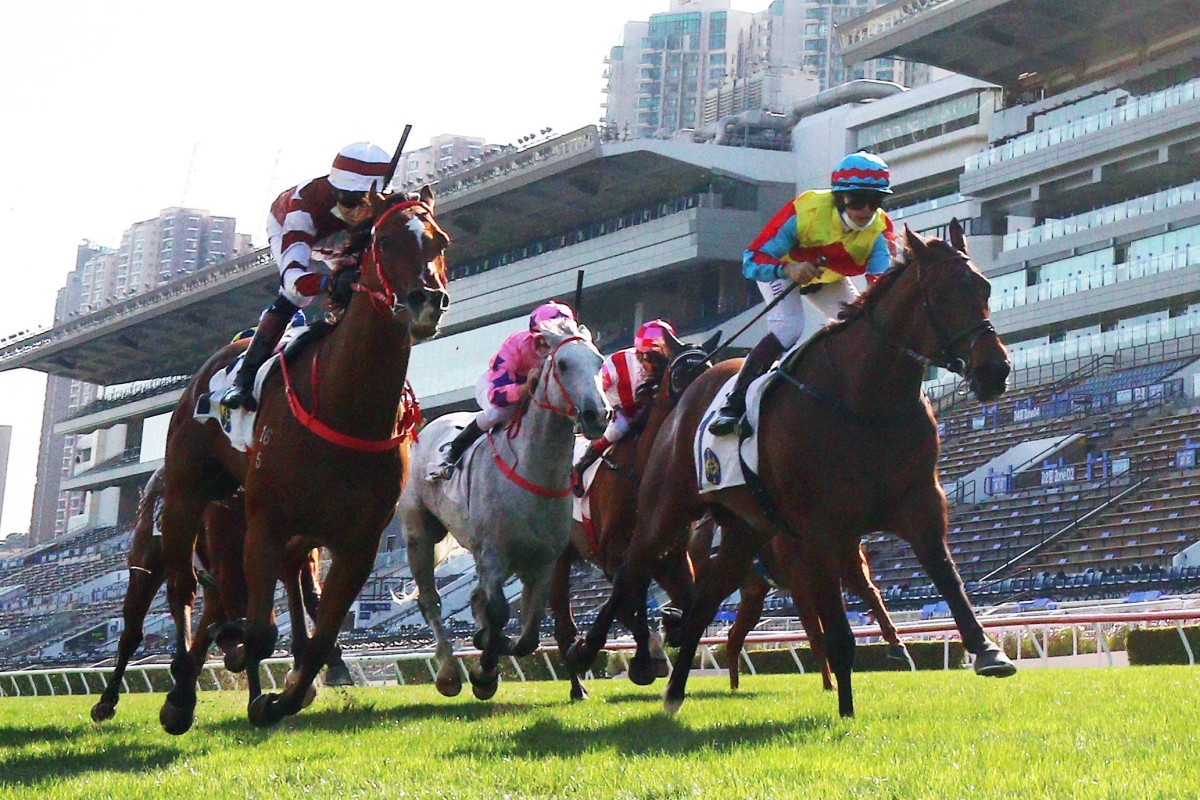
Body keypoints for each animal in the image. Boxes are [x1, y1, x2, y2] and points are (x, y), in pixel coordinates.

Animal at [154, 189, 446, 734]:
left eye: (440, 241)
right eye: (385, 241)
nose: (426, 300)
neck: (345, 401)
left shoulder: (357, 544)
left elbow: (320, 637)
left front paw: (280, 699)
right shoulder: (266, 522)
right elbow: (260, 632)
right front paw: (246, 668)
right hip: (188, 494)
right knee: (184, 585)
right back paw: (181, 691)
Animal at [400, 319, 609, 700]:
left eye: (599, 362)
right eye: (563, 365)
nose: (598, 415)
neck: (532, 471)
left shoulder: (544, 562)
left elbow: (528, 635)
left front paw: (489, 648)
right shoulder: (494, 554)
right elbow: (498, 613)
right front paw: (484, 672)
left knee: (472, 596)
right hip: (419, 533)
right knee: (430, 600)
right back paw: (449, 672)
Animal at [549, 328, 715, 695]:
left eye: (710, 367)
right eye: (682, 375)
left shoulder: (669, 557)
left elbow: (686, 603)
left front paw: (667, 632)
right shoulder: (614, 554)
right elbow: (626, 605)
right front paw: (637, 657)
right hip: (557, 561)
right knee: (563, 625)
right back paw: (577, 683)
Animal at [568, 220, 1012, 719]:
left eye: (985, 288)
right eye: (940, 295)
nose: (995, 370)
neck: (863, 400)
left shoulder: (920, 504)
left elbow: (947, 575)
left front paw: (988, 651)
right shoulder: (820, 530)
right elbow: (835, 632)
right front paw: (846, 712)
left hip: (744, 532)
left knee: (702, 604)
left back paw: (675, 690)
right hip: (667, 509)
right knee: (632, 566)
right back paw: (590, 653)